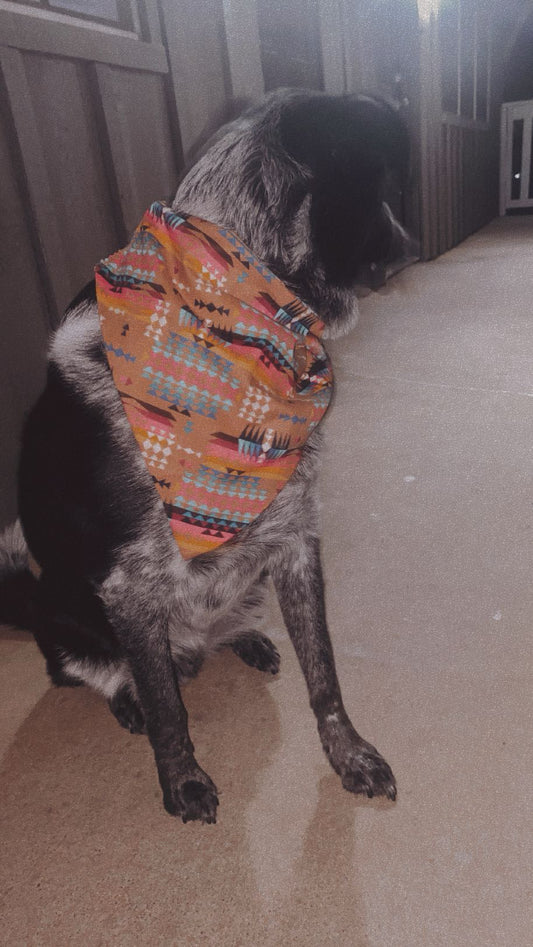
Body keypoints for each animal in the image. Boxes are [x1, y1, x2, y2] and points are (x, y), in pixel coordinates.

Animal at [0, 92, 412, 824]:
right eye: (385, 188)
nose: (412, 246)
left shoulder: (294, 538)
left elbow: (325, 675)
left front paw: (348, 756)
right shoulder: (129, 587)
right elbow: (169, 712)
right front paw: (182, 780)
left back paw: (244, 639)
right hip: (65, 613)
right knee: (105, 673)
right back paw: (129, 694)